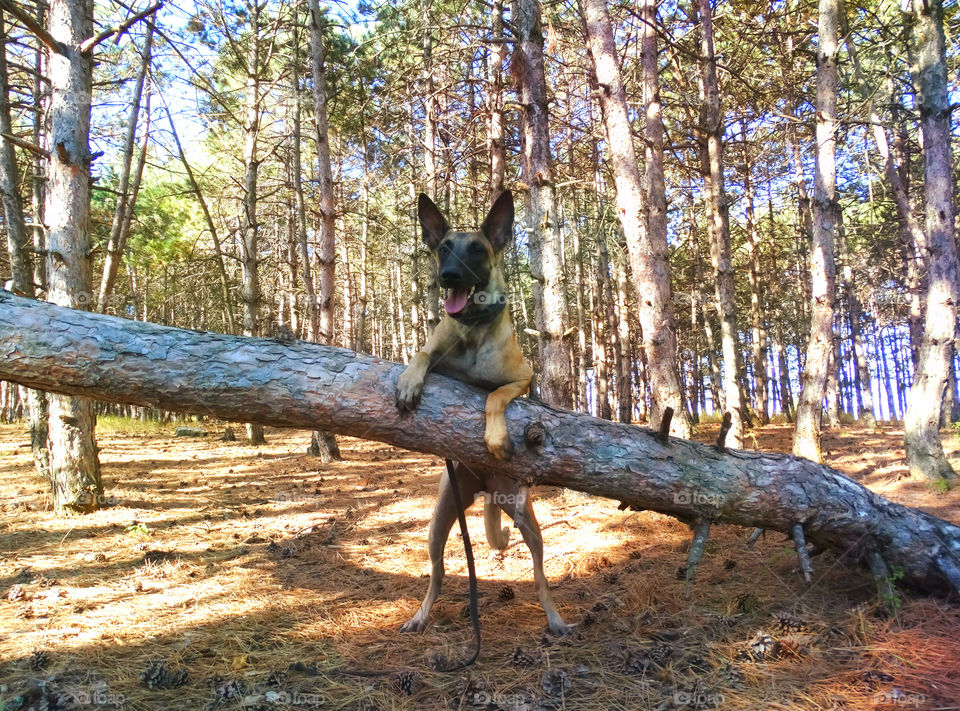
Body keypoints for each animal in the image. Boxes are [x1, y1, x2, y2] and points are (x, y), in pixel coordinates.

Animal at [392, 192, 568, 636]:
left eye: (476, 249)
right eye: (442, 248)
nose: (448, 276)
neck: (472, 329)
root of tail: (485, 486)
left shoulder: (524, 378)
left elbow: (496, 396)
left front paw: (496, 437)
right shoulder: (437, 353)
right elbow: (420, 354)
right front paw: (408, 382)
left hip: (525, 518)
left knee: (540, 576)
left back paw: (555, 617)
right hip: (439, 523)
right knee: (436, 576)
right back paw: (420, 616)